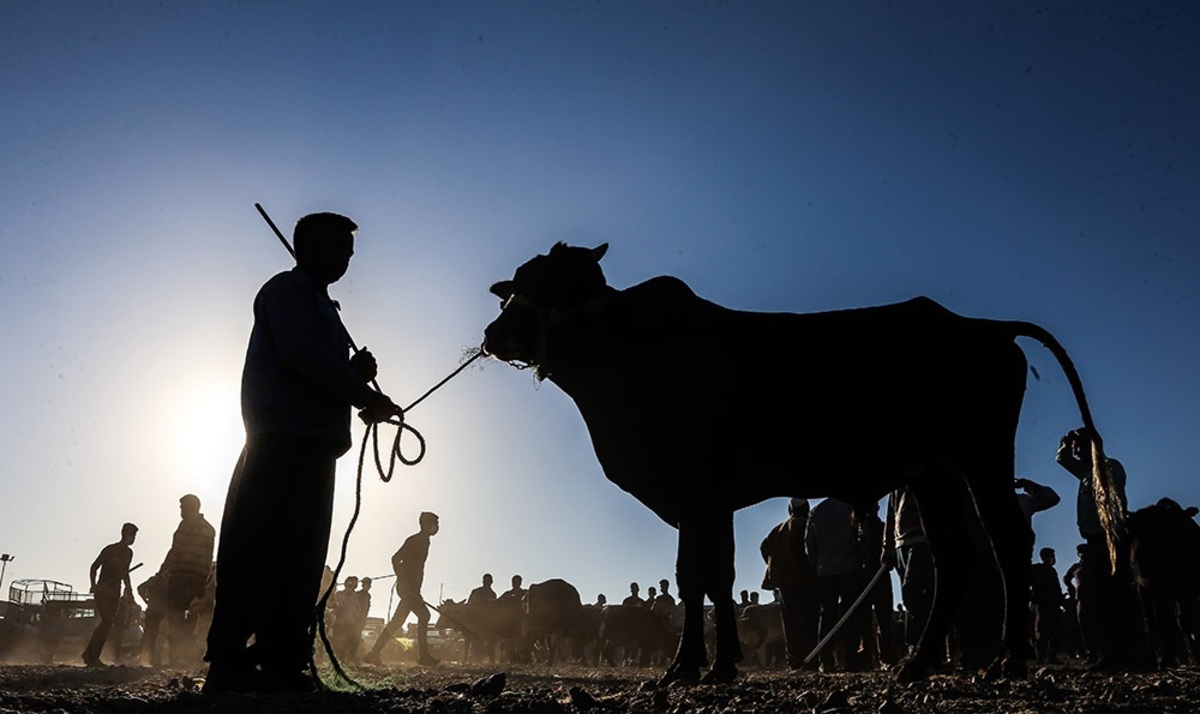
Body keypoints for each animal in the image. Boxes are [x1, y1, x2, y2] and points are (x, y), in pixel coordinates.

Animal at [480, 243, 1123, 686]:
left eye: (565, 284)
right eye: (518, 284)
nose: (493, 332)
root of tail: (981, 327)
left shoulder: (701, 494)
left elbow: (701, 577)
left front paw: (695, 666)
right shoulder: (706, 503)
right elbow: (708, 577)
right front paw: (711, 665)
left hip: (980, 458)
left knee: (1006, 543)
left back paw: (1007, 659)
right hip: (932, 475)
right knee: (956, 556)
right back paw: (917, 663)